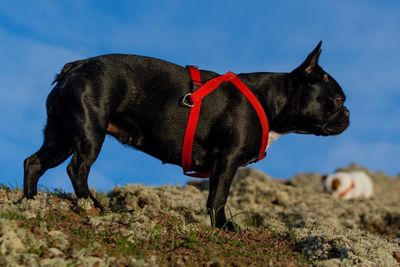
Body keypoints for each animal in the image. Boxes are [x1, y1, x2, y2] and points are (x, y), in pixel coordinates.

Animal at [24, 42, 350, 230]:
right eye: (336, 100)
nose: (348, 113)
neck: (271, 101)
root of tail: (75, 66)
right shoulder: (227, 160)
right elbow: (218, 197)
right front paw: (223, 227)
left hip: (61, 135)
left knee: (35, 162)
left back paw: (30, 201)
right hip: (90, 132)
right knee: (77, 168)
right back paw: (92, 206)